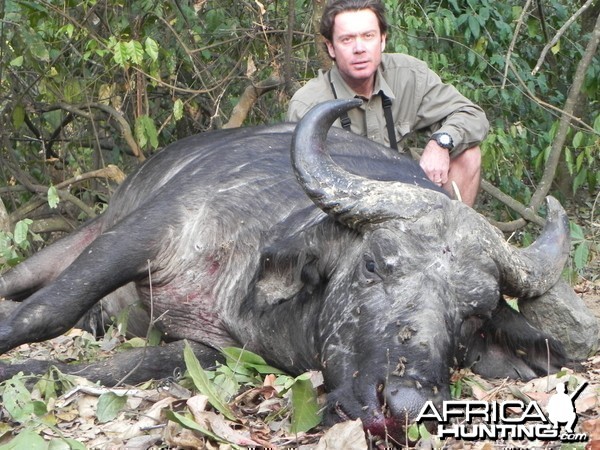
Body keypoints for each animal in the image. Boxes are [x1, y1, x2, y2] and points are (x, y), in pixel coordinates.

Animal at [0, 99, 572, 442]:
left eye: (474, 315)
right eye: (372, 264)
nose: (407, 404)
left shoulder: (212, 350)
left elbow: (113, 369)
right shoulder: (153, 227)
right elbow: (46, 313)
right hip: (73, 243)